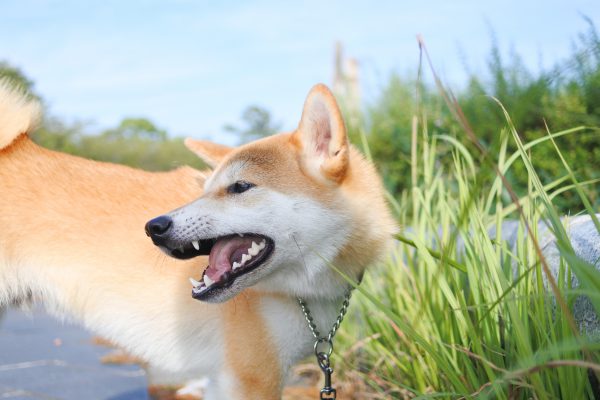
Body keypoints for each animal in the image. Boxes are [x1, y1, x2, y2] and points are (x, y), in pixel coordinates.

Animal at [0, 83, 396, 398]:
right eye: (204, 191)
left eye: (239, 187)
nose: (154, 226)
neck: (299, 292)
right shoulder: (252, 378)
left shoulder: (222, 381)